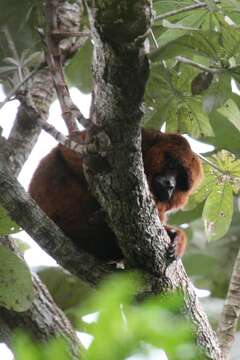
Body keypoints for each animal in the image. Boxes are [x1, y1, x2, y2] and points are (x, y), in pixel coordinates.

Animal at [29, 129, 203, 262]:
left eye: (181, 181)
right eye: (172, 165)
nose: (170, 185)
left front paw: (176, 237)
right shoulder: (142, 138)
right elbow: (71, 151)